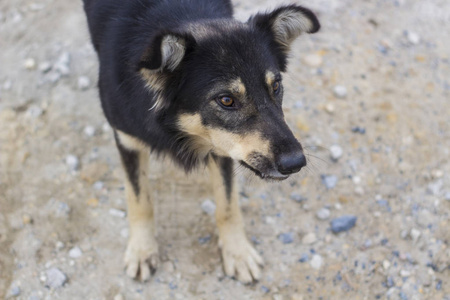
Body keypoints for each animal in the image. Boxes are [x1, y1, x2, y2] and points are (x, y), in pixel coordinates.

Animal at [81, 0, 320, 284]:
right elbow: (139, 200)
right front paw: (141, 251)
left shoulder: (223, 147)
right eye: (226, 100)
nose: (296, 163)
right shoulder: (127, 140)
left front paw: (237, 252)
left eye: (276, 87)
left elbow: (227, 205)